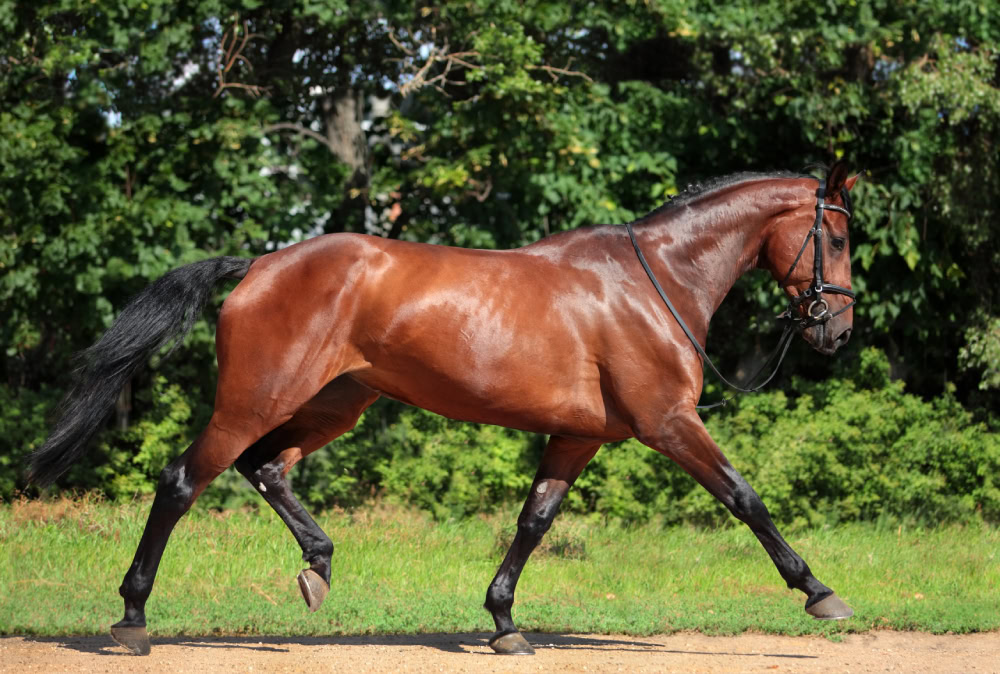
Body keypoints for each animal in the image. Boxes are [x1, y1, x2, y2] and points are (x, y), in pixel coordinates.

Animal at [28, 161, 859, 656]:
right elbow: (745, 497)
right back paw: (133, 618)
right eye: (840, 234)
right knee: (184, 482)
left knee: (268, 468)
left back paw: (318, 568)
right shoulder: (670, 423)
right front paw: (819, 592)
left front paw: (504, 622)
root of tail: (260, 264)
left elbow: (534, 521)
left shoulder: (577, 437)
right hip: (253, 399)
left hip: (336, 402)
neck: (650, 284)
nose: (838, 329)